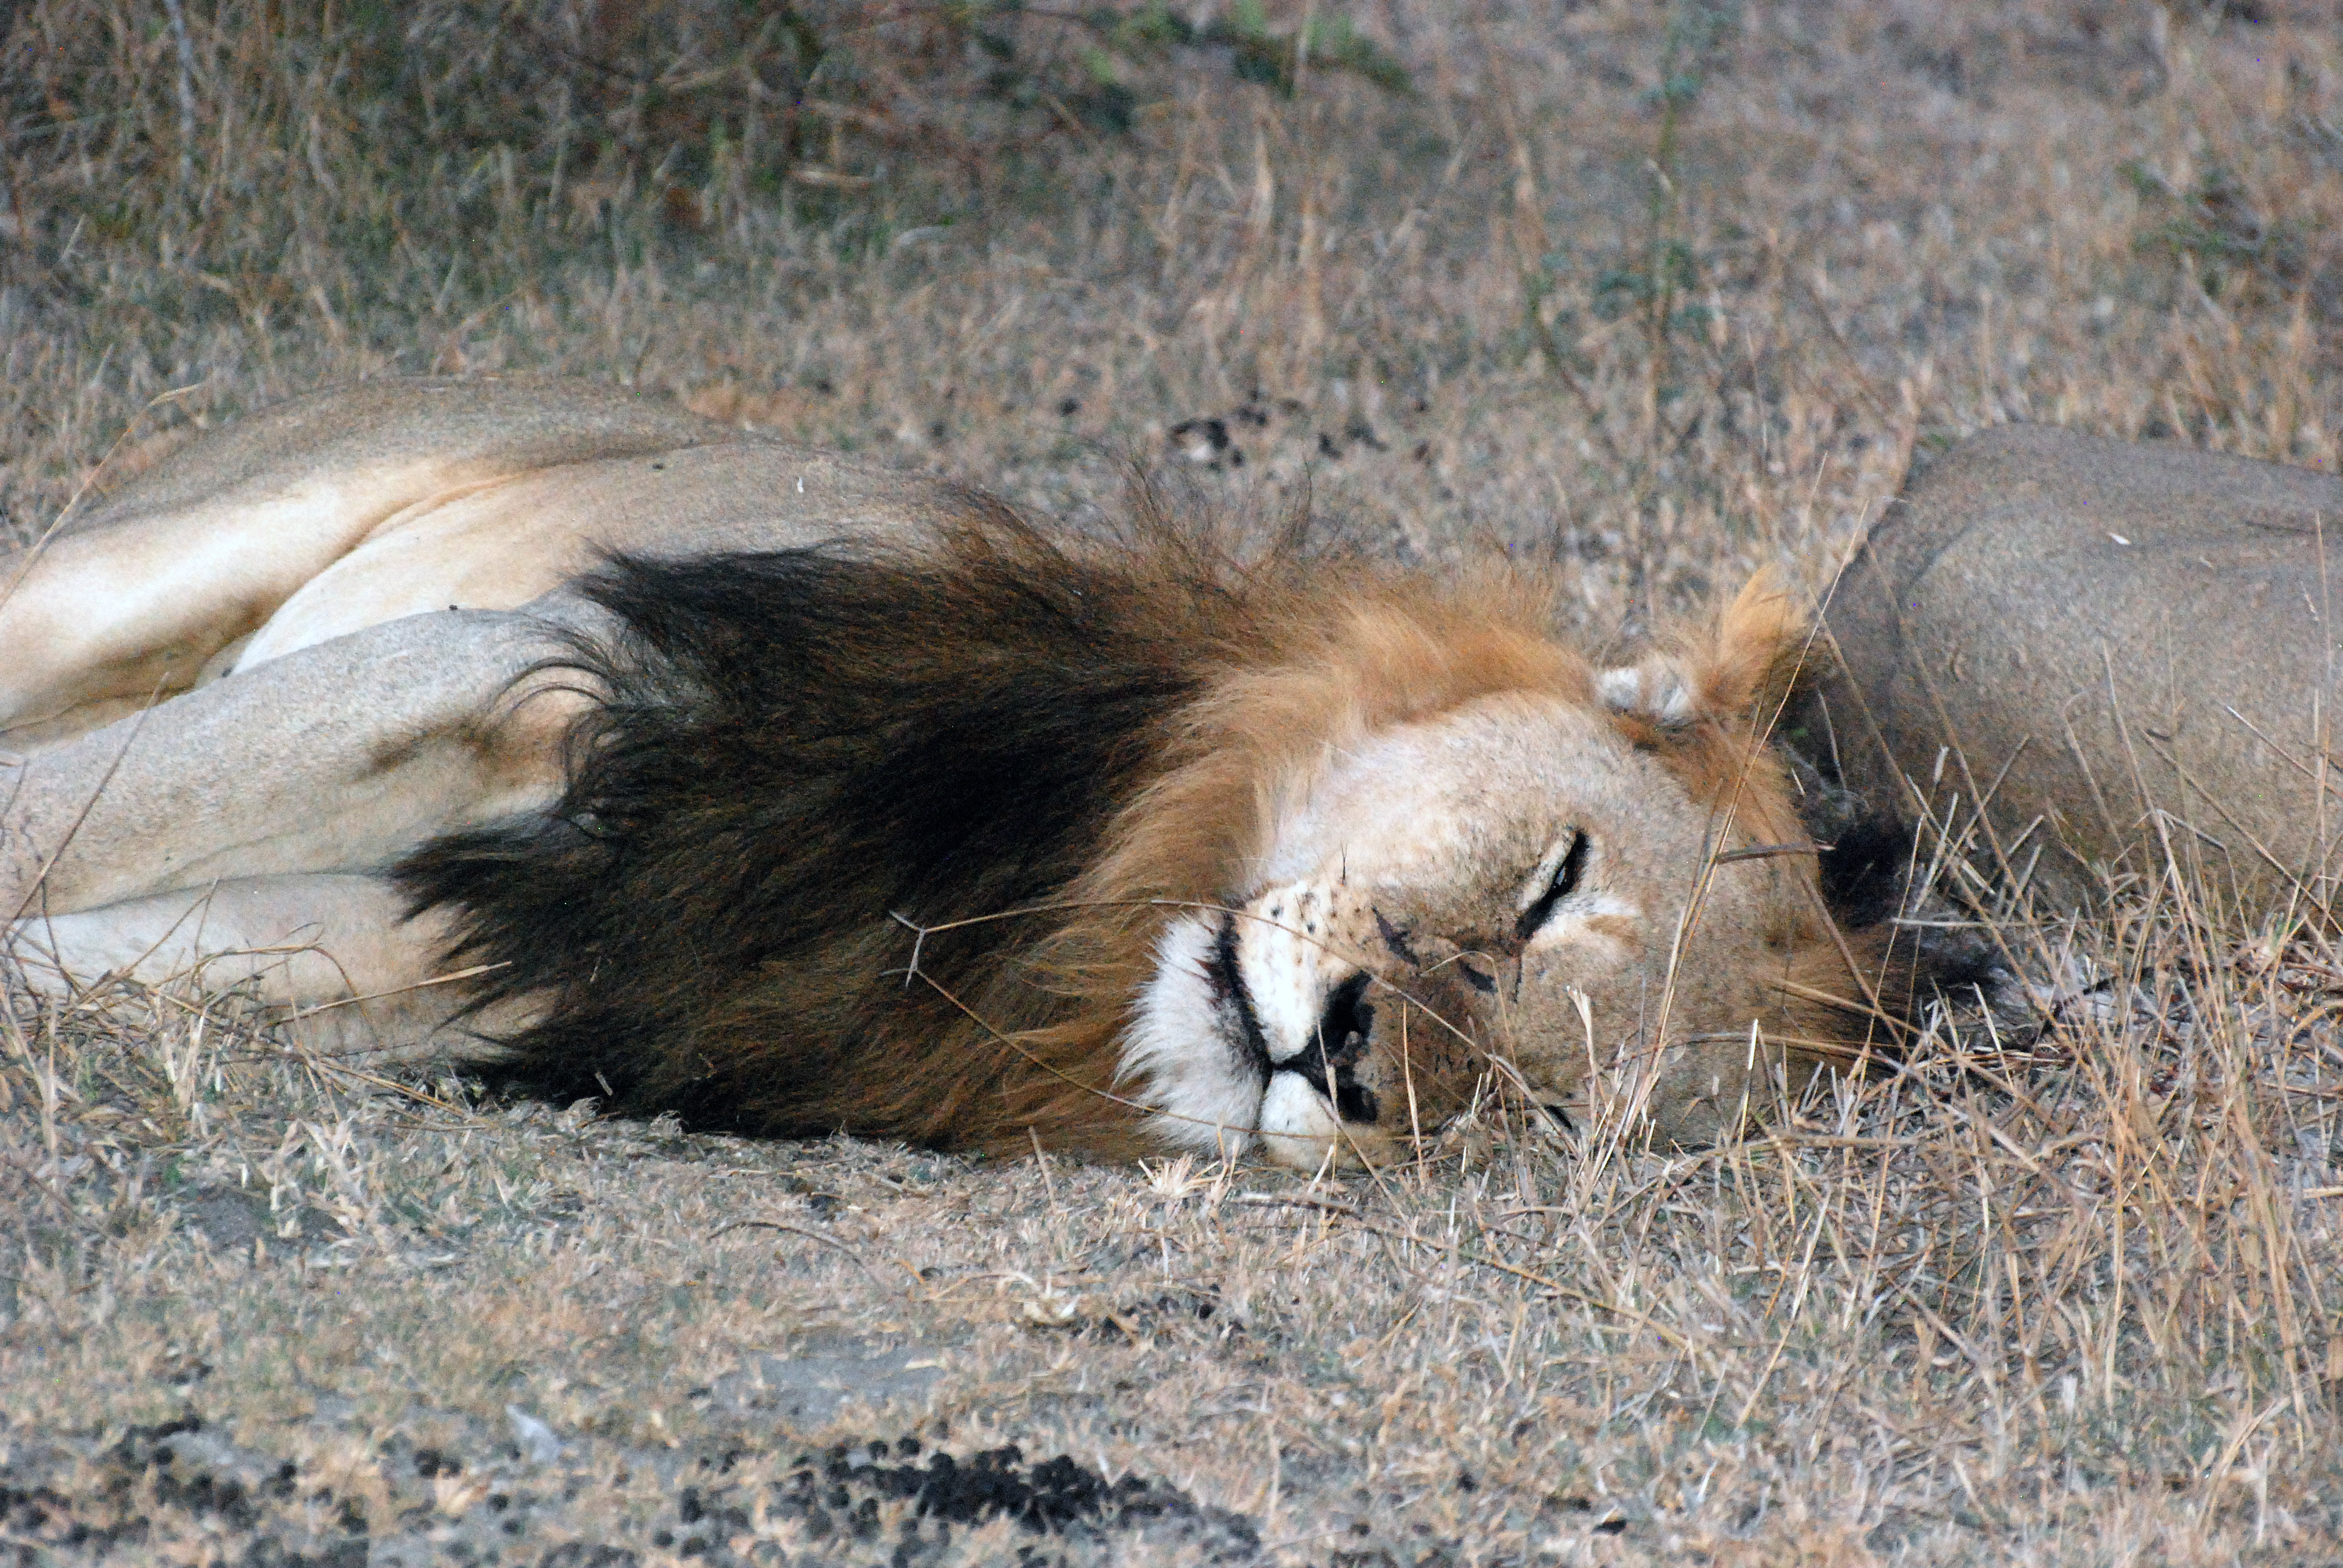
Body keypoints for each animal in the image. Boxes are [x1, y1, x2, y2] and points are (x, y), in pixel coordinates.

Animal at [0, 374, 1996, 1162]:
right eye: (1550, 883)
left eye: (1548, 1112)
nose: (1347, 1056)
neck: (1080, 899)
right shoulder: (541, 673)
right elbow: (89, 809)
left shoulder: (474, 957)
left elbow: (111, 949)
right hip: (171, 548)